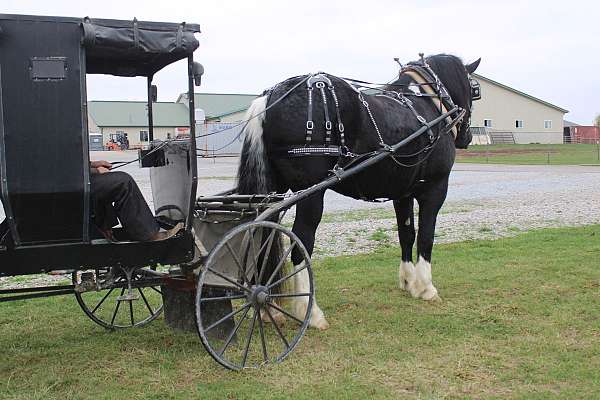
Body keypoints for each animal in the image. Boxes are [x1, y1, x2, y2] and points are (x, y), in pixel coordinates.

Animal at [237, 54, 480, 328]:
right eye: (475, 90)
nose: (467, 138)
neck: (428, 106)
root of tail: (270, 99)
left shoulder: (403, 194)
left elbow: (406, 234)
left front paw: (409, 282)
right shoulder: (435, 190)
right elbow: (426, 236)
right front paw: (426, 287)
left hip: (271, 194)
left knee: (261, 236)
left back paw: (268, 307)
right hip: (310, 194)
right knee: (301, 242)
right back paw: (310, 312)